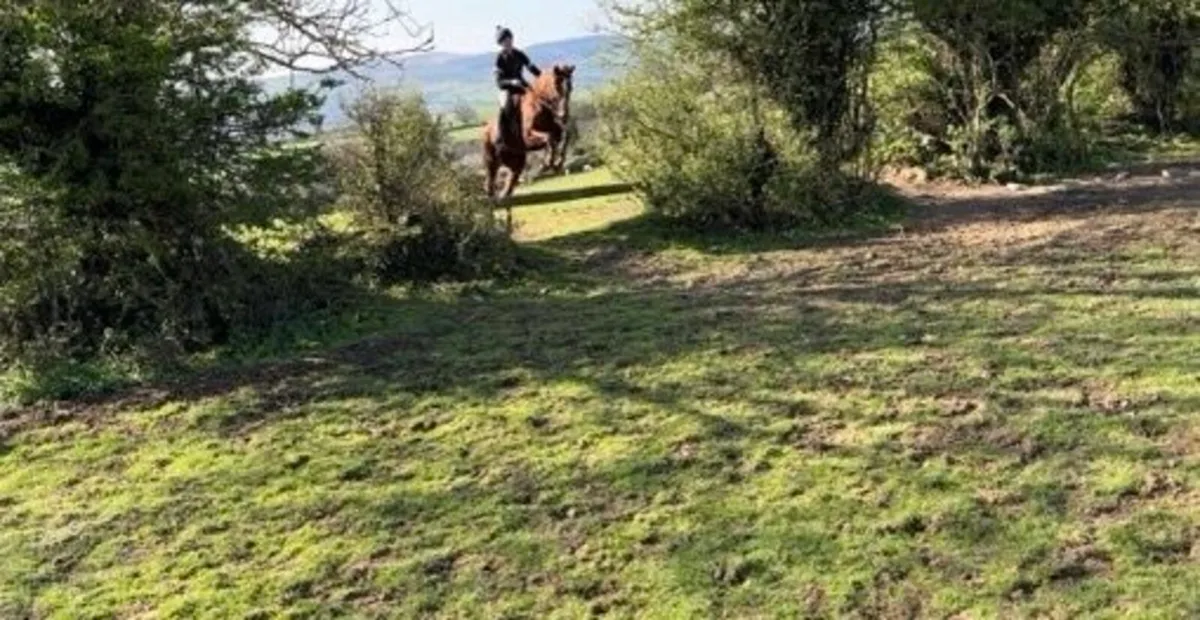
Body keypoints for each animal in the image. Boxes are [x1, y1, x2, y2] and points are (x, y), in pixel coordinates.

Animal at [483, 63, 575, 228]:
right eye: (557, 86)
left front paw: (556, 163)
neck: (540, 105)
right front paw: (548, 163)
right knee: (490, 189)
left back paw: (508, 225)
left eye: (570, 87)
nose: (563, 115)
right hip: (491, 163)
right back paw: (492, 223)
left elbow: (564, 135)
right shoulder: (528, 136)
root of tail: (486, 129)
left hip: (516, 165)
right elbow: (549, 139)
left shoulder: (556, 130)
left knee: (507, 193)